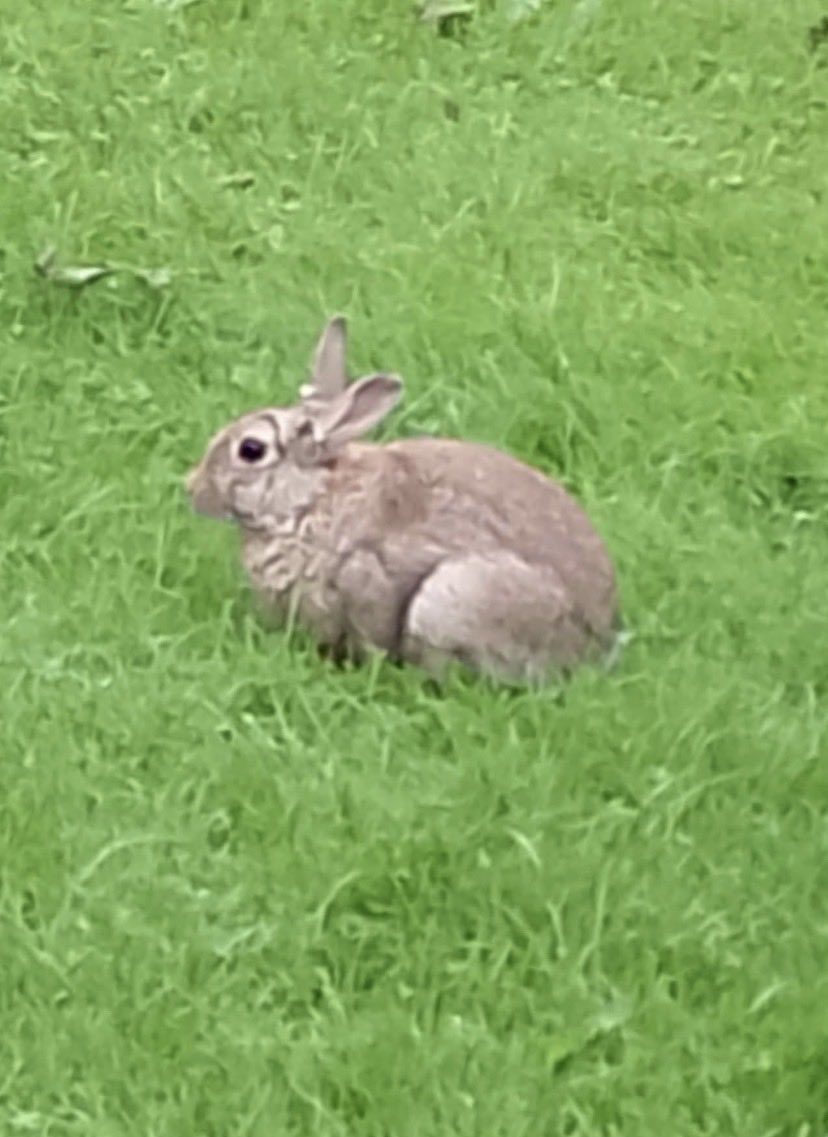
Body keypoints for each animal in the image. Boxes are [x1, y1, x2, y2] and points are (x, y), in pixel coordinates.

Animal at [185, 316, 621, 683]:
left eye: (251, 450)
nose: (192, 489)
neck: (309, 498)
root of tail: (596, 647)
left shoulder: (366, 577)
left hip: (452, 598)